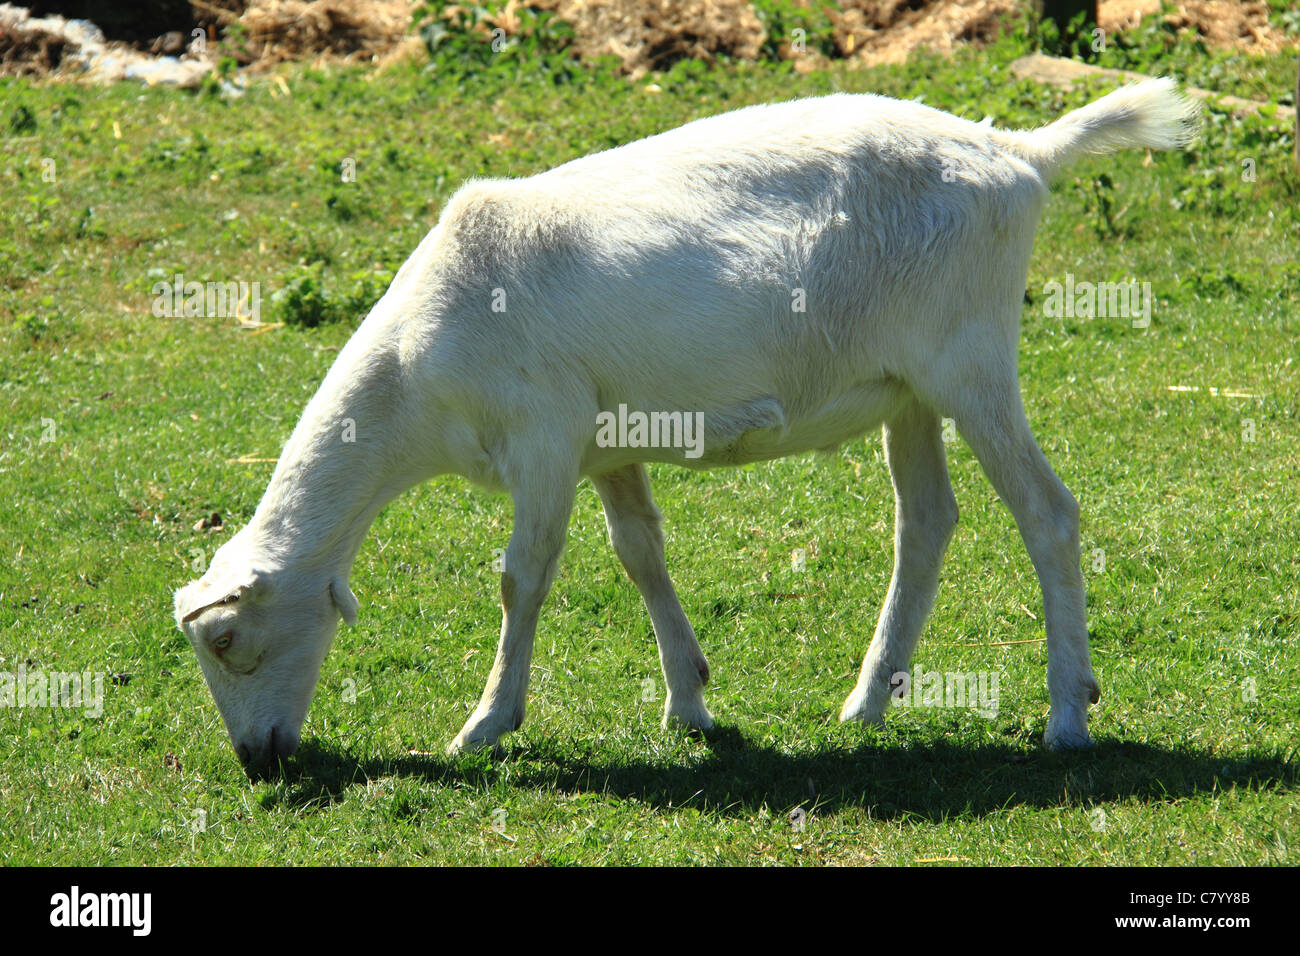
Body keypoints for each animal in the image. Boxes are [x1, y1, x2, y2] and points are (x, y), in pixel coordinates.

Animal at [175, 79, 1199, 769]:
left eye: (225, 642)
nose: (258, 761)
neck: (417, 379)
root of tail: (1021, 153)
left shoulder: (544, 436)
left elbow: (521, 579)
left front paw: (485, 724)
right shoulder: (602, 445)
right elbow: (640, 554)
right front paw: (689, 703)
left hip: (971, 361)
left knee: (1047, 512)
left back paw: (1069, 714)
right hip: (908, 388)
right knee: (927, 521)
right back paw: (868, 701)